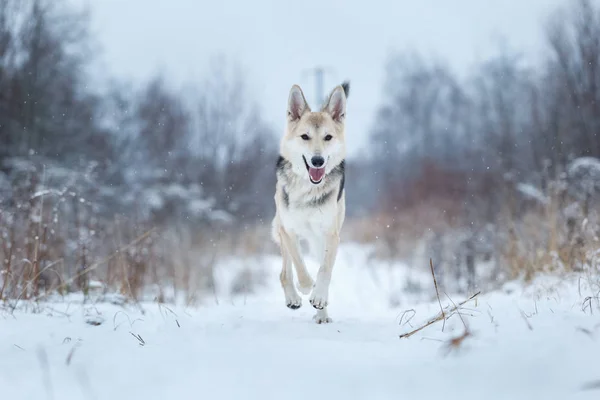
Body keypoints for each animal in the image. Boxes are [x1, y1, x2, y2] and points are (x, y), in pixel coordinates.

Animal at [270, 79, 350, 324]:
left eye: (328, 137)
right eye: (305, 137)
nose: (317, 160)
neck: (308, 188)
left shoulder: (331, 235)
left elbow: (324, 270)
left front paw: (319, 299)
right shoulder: (289, 230)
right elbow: (299, 264)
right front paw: (305, 287)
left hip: (319, 240)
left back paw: (321, 313)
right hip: (281, 228)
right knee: (285, 271)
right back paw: (294, 297)